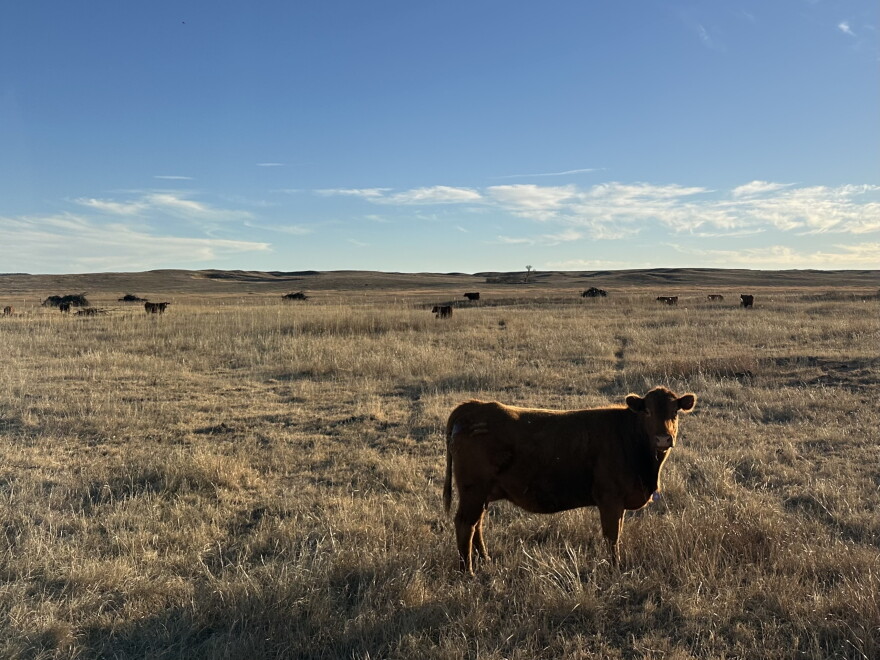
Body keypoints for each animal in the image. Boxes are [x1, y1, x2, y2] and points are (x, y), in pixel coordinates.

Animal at [443, 386, 697, 574]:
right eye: (647, 412)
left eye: (675, 412)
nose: (663, 438)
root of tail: (474, 406)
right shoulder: (610, 499)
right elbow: (612, 536)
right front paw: (615, 569)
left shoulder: (619, 503)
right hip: (473, 491)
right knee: (465, 524)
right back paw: (468, 572)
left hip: (481, 494)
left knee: (477, 524)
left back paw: (485, 560)